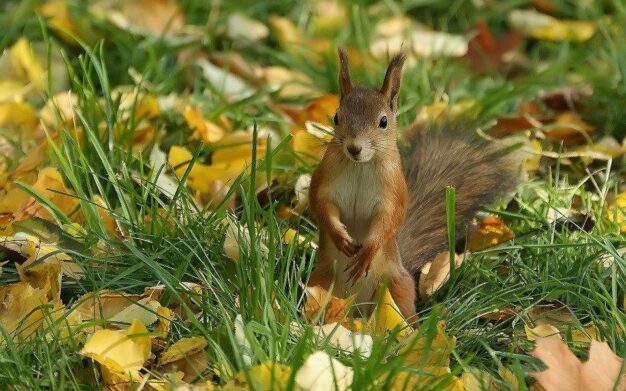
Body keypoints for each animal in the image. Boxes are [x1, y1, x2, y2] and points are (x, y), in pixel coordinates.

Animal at [308, 48, 516, 322]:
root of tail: (357, 311)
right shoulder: (325, 179)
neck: (360, 166)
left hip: (396, 288)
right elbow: (321, 205)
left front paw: (367, 253)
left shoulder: (394, 189)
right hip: (320, 282)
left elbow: (390, 218)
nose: (354, 148)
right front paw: (339, 236)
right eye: (336, 117)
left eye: (383, 122)